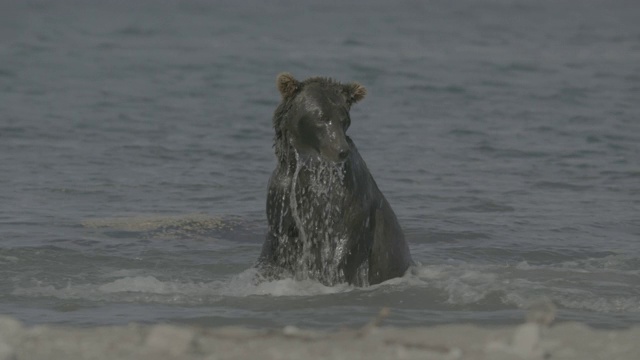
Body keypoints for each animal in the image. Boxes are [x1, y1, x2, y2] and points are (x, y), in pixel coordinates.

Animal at [258, 74, 412, 286]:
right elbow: (277, 245)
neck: (311, 164)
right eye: (321, 117)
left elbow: (342, 244)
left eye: (344, 119)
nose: (341, 150)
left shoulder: (349, 197)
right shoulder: (283, 194)